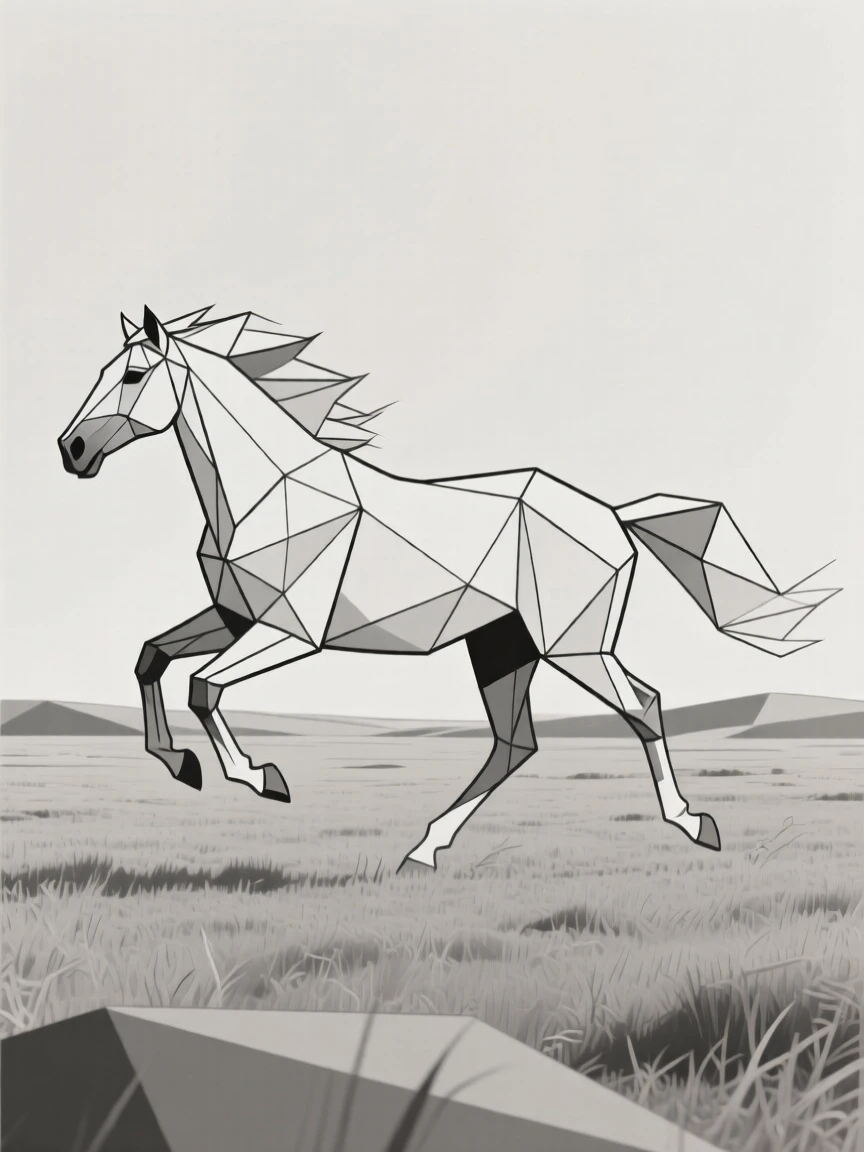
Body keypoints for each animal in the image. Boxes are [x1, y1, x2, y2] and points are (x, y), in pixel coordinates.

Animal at [59, 306, 839, 871]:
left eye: (133, 373)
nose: (72, 451)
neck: (268, 491)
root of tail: (615, 516)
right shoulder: (231, 614)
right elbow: (152, 658)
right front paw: (181, 765)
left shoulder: (290, 634)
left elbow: (204, 689)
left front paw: (262, 777)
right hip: (502, 649)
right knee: (515, 743)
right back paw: (423, 849)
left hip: (574, 648)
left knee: (641, 706)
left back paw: (695, 824)